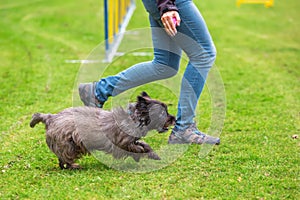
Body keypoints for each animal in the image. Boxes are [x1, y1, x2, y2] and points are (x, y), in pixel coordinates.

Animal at [29, 92, 175, 169]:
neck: (134, 118)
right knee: (65, 157)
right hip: (69, 144)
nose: (174, 119)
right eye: (163, 113)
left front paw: (154, 155)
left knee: (61, 159)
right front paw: (140, 154)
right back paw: (74, 166)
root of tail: (50, 117)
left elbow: (144, 144)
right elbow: (136, 148)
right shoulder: (121, 143)